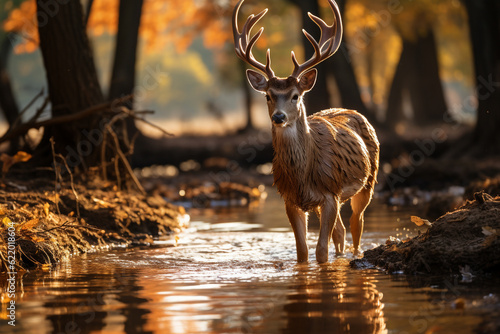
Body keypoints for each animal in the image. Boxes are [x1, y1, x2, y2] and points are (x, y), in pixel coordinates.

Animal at [233, 0, 378, 262]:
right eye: (268, 96)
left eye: (295, 96)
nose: (278, 117)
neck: (302, 177)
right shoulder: (290, 199)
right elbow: (302, 251)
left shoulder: (330, 193)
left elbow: (321, 251)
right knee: (341, 231)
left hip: (368, 181)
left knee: (356, 224)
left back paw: (354, 255)